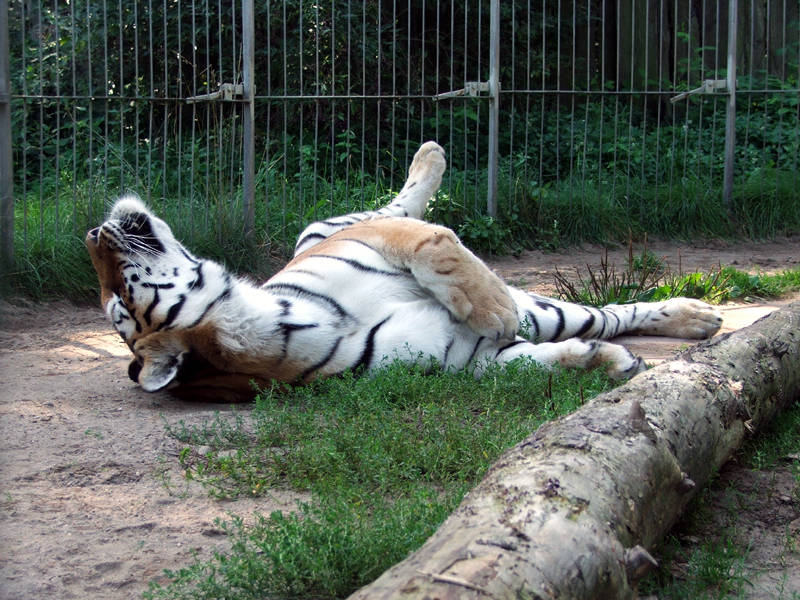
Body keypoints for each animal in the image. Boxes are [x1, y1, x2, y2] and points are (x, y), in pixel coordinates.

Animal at [84, 141, 720, 400]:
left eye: (114, 295)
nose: (92, 233)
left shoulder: (374, 241)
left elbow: (433, 242)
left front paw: (491, 306)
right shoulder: (467, 361)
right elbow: (527, 363)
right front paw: (605, 363)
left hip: (327, 229)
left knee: (396, 206)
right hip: (550, 316)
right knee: (603, 319)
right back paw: (688, 322)